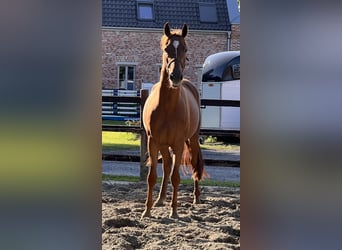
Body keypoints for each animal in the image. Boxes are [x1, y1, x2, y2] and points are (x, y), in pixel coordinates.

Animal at [142, 23, 206, 219]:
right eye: (166, 49)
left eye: (185, 48)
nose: (175, 77)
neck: (168, 107)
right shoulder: (153, 142)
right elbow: (152, 176)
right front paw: (147, 210)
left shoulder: (178, 144)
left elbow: (176, 177)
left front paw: (174, 211)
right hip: (164, 145)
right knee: (167, 165)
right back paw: (160, 199)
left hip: (192, 139)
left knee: (194, 164)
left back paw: (196, 197)